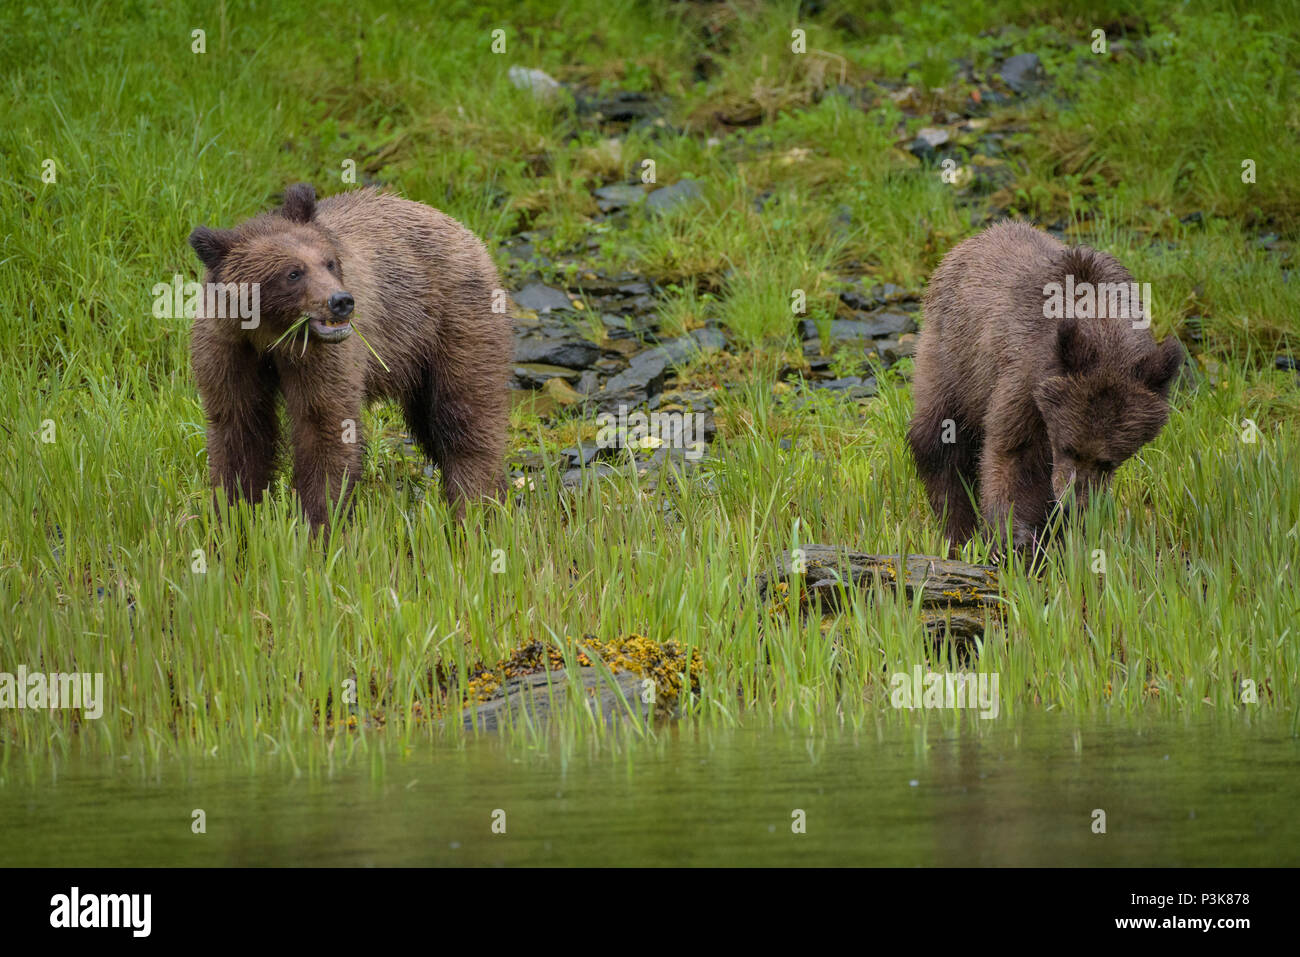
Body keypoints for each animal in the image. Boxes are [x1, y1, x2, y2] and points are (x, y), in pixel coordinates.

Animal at [189, 183, 512, 527]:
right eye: (293, 273)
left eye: (329, 262)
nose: (340, 301)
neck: (270, 338)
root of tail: (461, 228)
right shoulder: (229, 351)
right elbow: (239, 427)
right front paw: (233, 516)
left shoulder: (322, 357)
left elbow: (324, 425)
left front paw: (321, 521)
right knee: (431, 422)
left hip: (451, 323)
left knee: (464, 414)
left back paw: (474, 509)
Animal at [909, 222, 1185, 553]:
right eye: (1069, 447)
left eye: (1108, 461)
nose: (1073, 503)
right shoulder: (1025, 380)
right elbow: (1013, 456)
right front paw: (1012, 536)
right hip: (951, 359)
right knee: (939, 441)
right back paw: (958, 532)